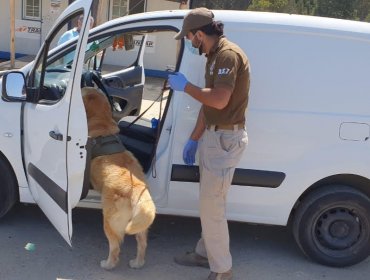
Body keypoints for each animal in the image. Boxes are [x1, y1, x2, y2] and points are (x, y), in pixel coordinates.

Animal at [81, 87, 156, 270]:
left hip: (109, 221)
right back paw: (137, 263)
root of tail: (136, 188)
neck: (102, 124)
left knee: (115, 247)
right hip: (141, 224)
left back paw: (108, 264)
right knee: (142, 244)